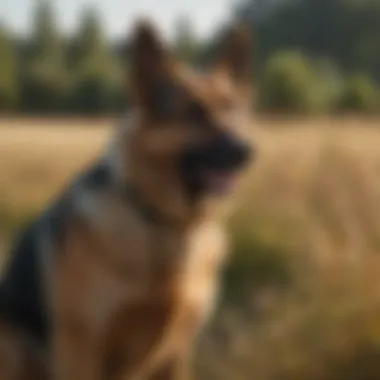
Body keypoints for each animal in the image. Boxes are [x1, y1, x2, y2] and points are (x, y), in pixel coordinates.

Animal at [0, 21, 254, 380]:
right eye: (194, 112)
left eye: (234, 109)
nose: (247, 151)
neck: (165, 223)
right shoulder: (80, 348)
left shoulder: (176, 353)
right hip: (11, 345)